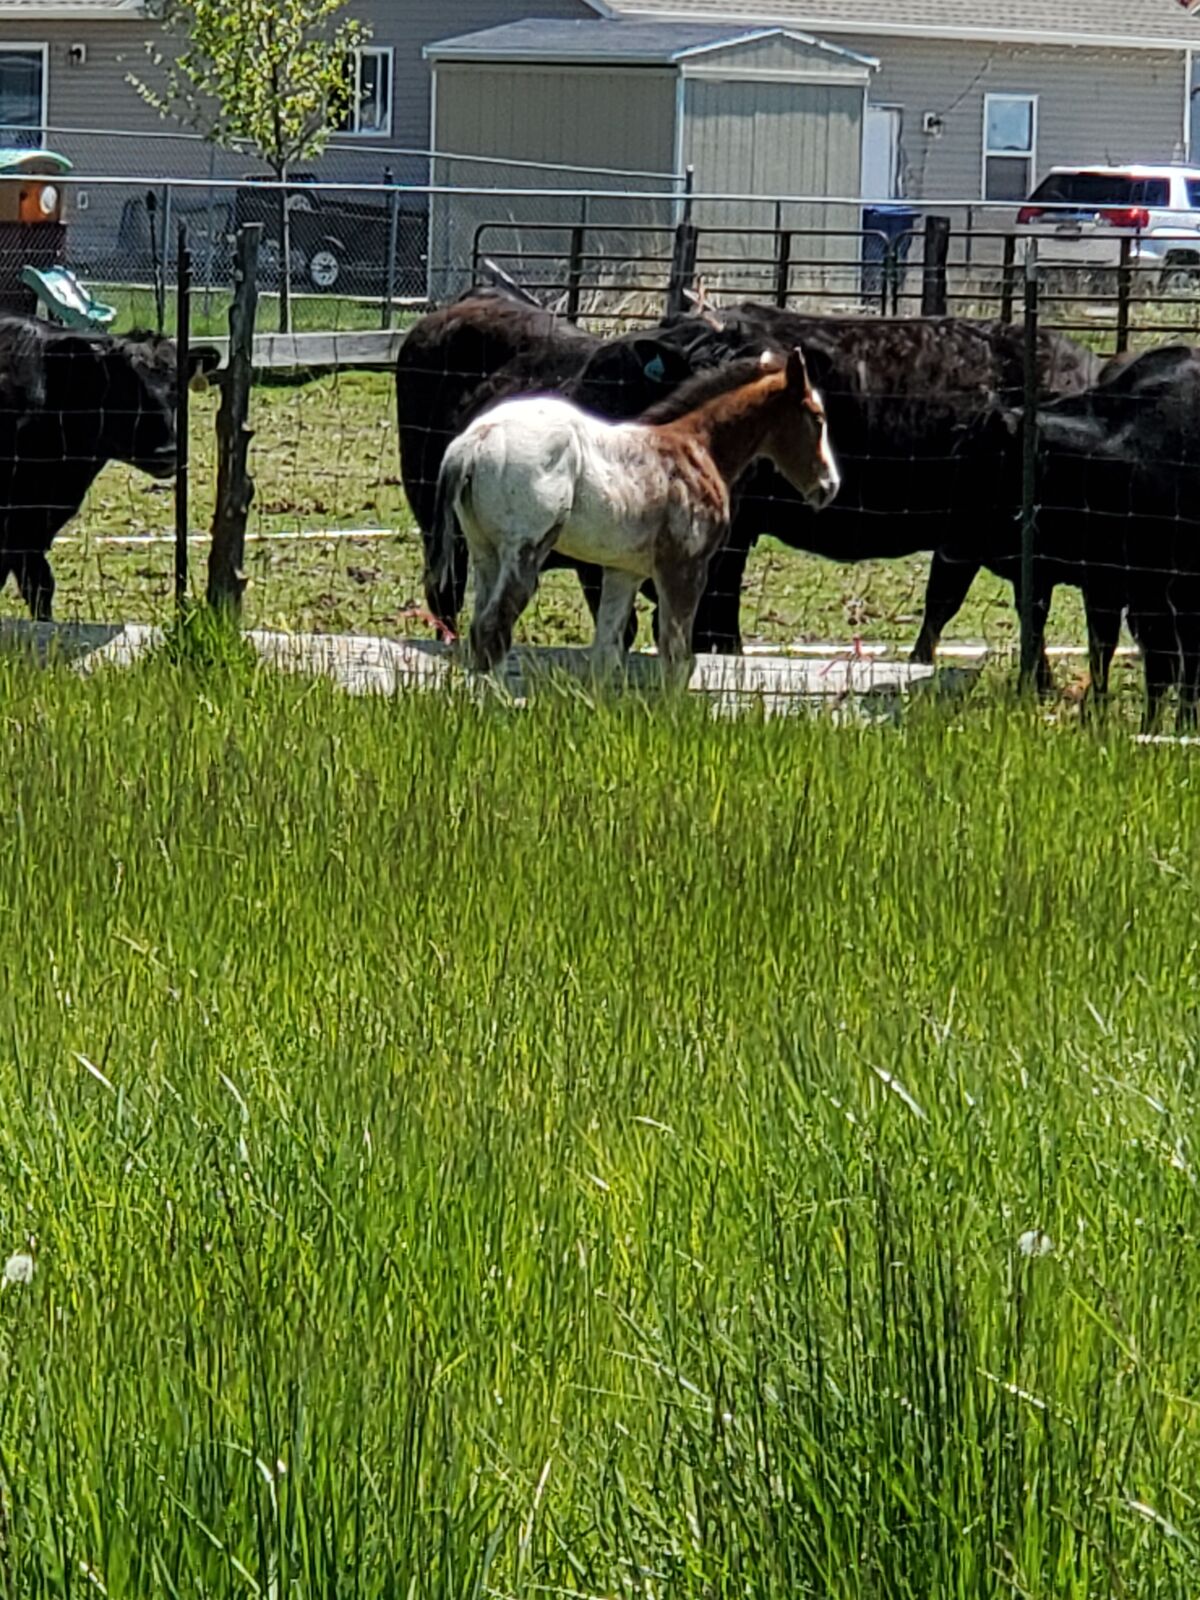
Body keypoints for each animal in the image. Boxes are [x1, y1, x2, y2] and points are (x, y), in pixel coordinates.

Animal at [430, 349, 839, 686]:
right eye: (817, 417)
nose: (829, 485)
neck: (697, 447)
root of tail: (473, 441)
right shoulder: (684, 567)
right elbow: (677, 656)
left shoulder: (623, 572)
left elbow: (607, 652)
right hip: (524, 552)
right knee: (493, 628)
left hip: (485, 553)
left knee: (480, 631)